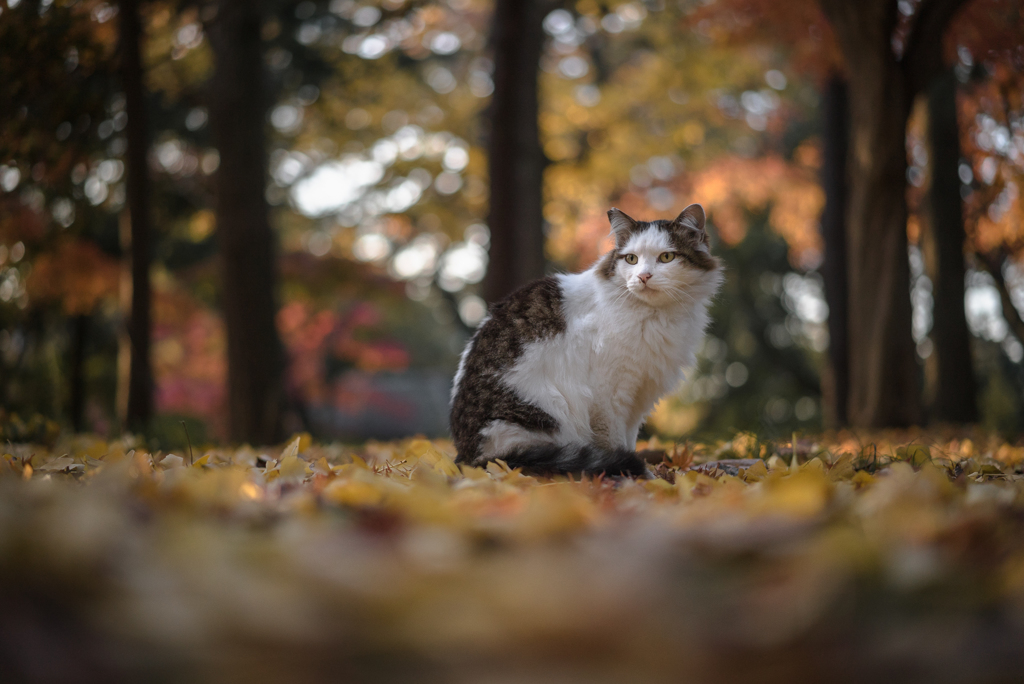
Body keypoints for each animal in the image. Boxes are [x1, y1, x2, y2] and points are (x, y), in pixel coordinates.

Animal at [448, 202, 720, 475]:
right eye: (631, 259)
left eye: (666, 257)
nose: (643, 277)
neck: (655, 315)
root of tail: (468, 457)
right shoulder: (608, 396)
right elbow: (614, 442)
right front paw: (636, 474)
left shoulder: (638, 395)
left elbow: (629, 440)